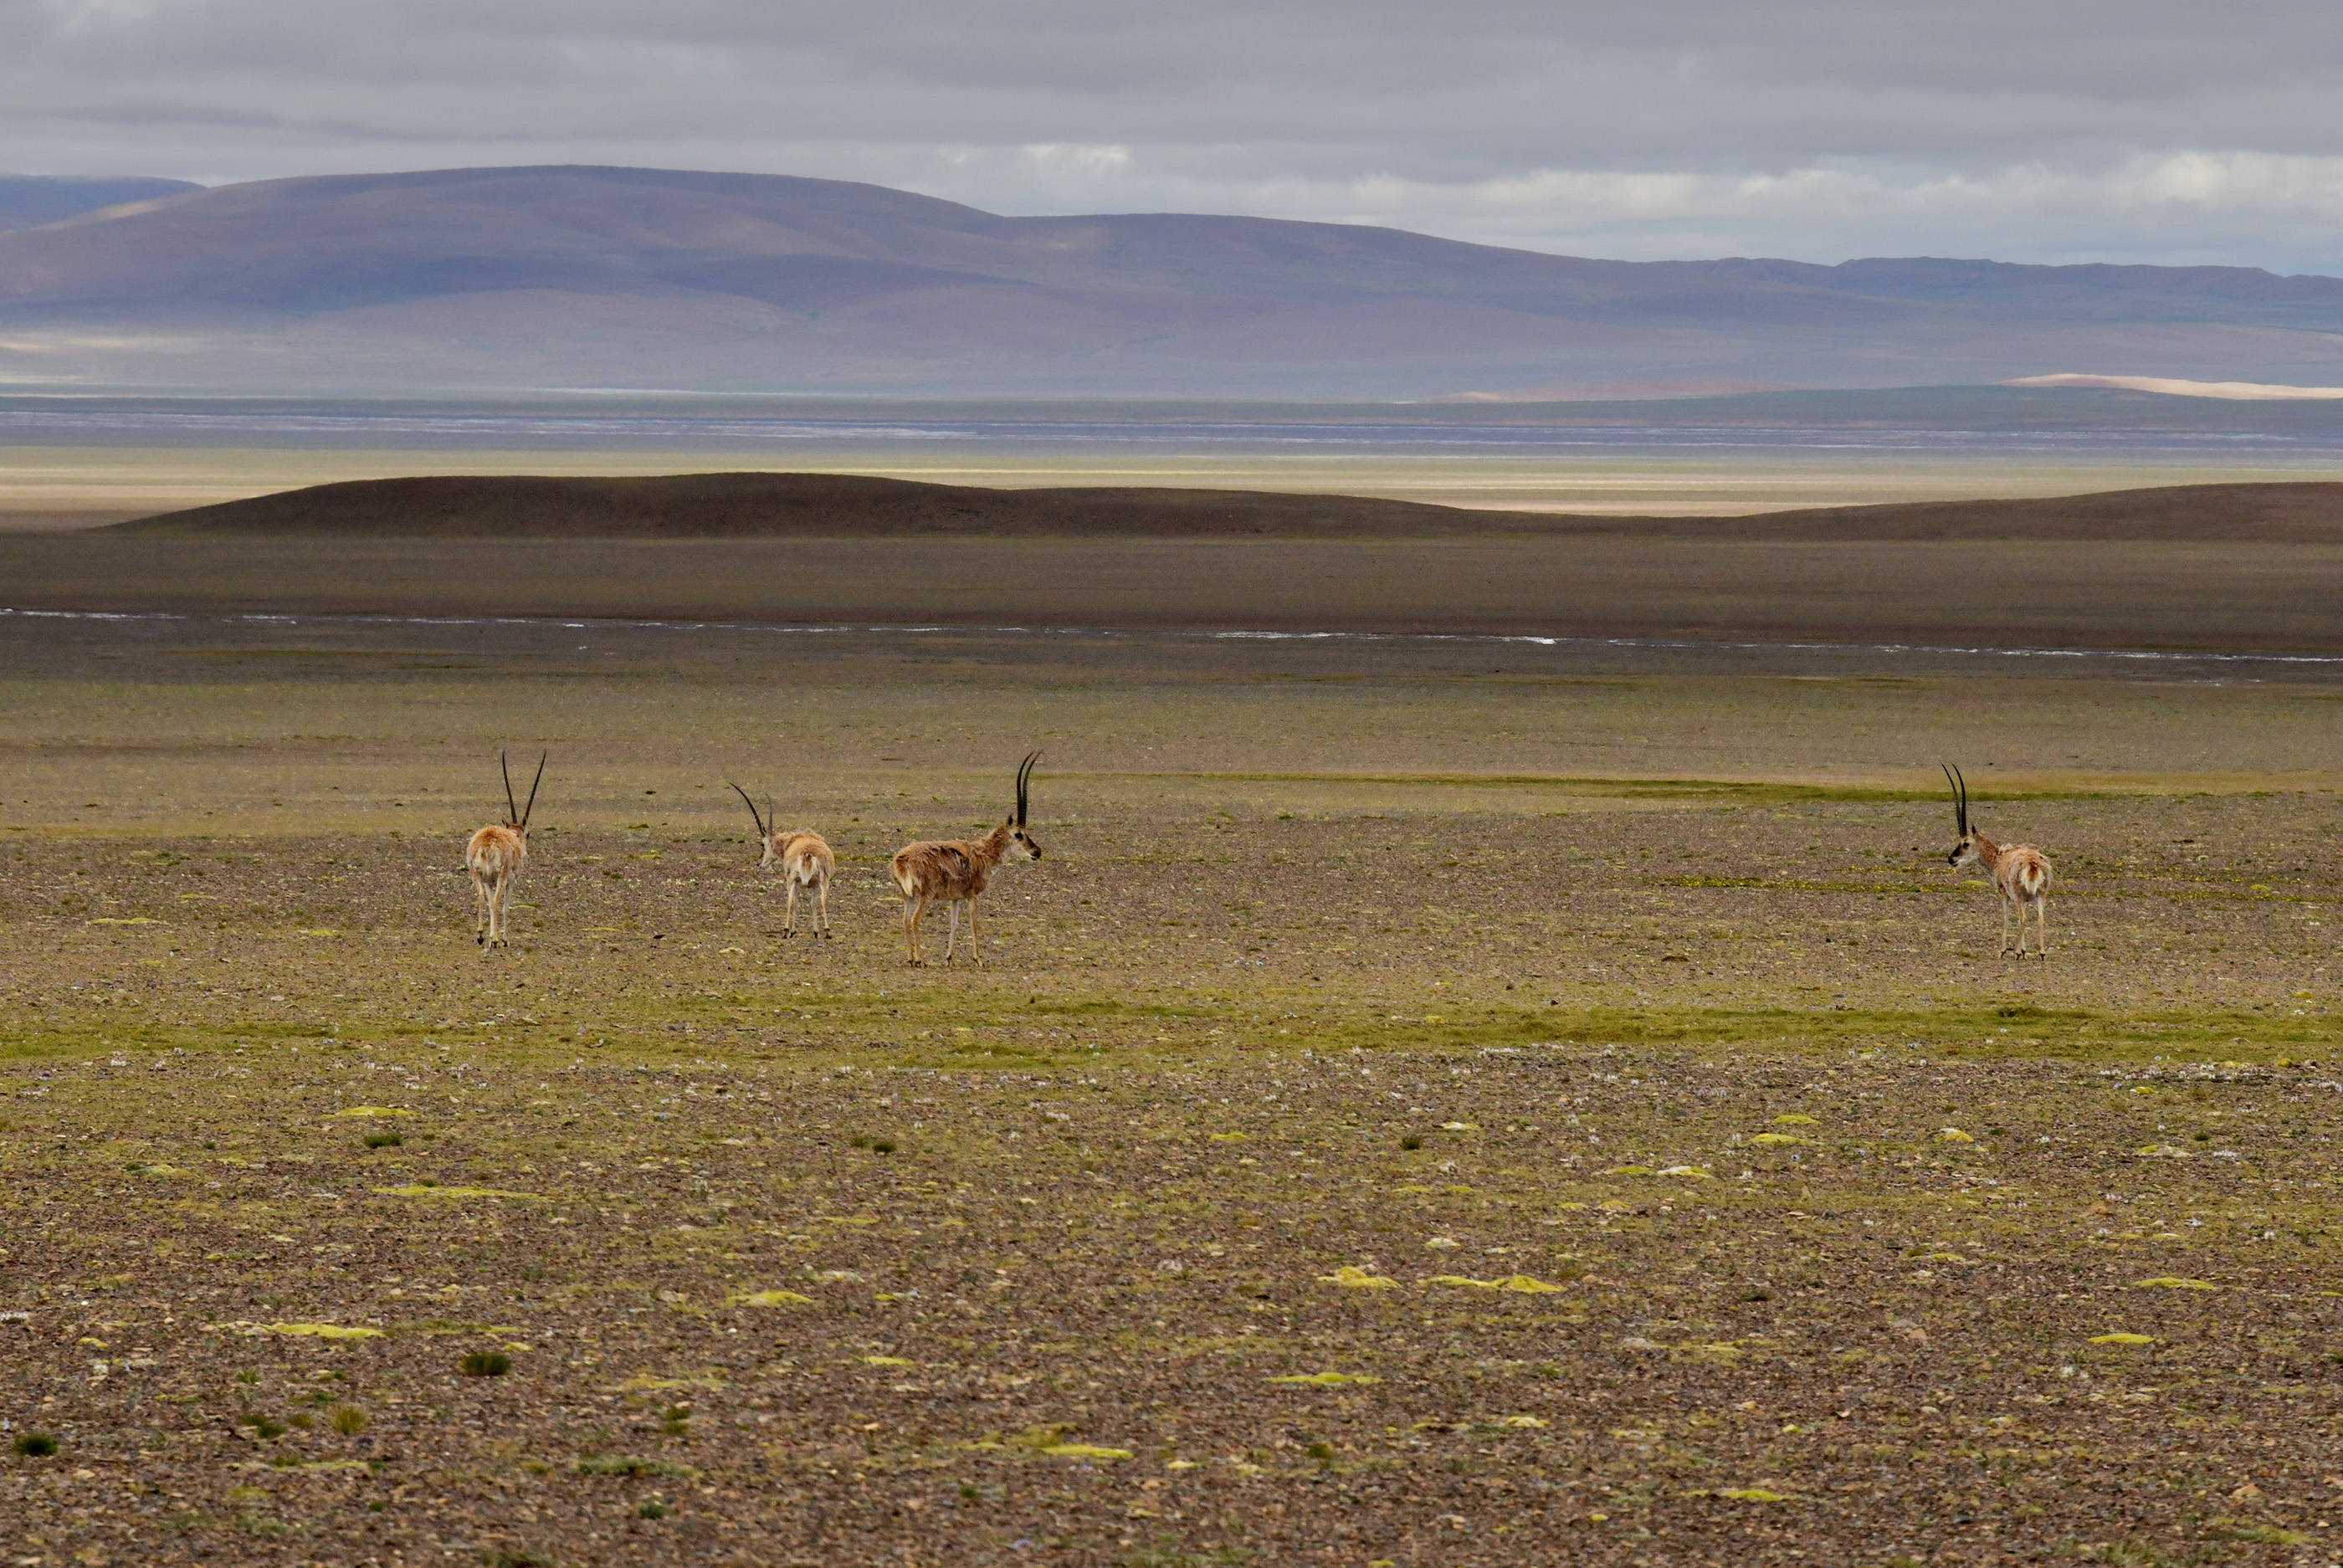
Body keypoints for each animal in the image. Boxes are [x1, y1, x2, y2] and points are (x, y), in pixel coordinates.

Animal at [464, 750, 541, 946]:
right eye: (528, 834)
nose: (526, 853)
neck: (513, 836)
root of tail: (487, 843)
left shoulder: (488, 881)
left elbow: (491, 904)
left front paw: (492, 935)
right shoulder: (511, 881)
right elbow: (506, 906)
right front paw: (503, 939)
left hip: (478, 875)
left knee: (482, 896)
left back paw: (481, 935)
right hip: (502, 876)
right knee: (498, 902)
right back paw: (497, 940)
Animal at [736, 782, 848, 942]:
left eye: (763, 844)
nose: (759, 863)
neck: (791, 840)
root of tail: (807, 853)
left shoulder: (796, 881)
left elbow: (796, 902)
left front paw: (793, 930)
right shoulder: (814, 884)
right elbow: (813, 904)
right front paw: (815, 931)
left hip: (791, 879)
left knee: (790, 900)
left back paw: (786, 930)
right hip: (823, 880)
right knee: (823, 899)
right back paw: (827, 931)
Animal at [885, 750, 1044, 966]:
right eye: (1019, 834)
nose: (1037, 852)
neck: (982, 853)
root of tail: (902, 860)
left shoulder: (955, 898)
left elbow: (954, 923)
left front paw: (949, 957)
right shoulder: (972, 895)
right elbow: (974, 923)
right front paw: (979, 959)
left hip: (907, 895)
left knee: (904, 920)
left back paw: (911, 959)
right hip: (925, 896)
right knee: (915, 919)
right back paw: (920, 960)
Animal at [1940, 759, 2052, 956]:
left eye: (1965, 843)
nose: (1951, 859)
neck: (1999, 857)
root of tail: (2032, 864)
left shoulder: (2004, 894)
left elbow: (2006, 918)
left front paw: (2004, 950)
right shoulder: (2025, 899)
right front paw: (2023, 950)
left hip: (2017, 894)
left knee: (2023, 918)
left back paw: (2015, 953)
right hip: (2040, 895)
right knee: (2039, 918)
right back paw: (2042, 953)